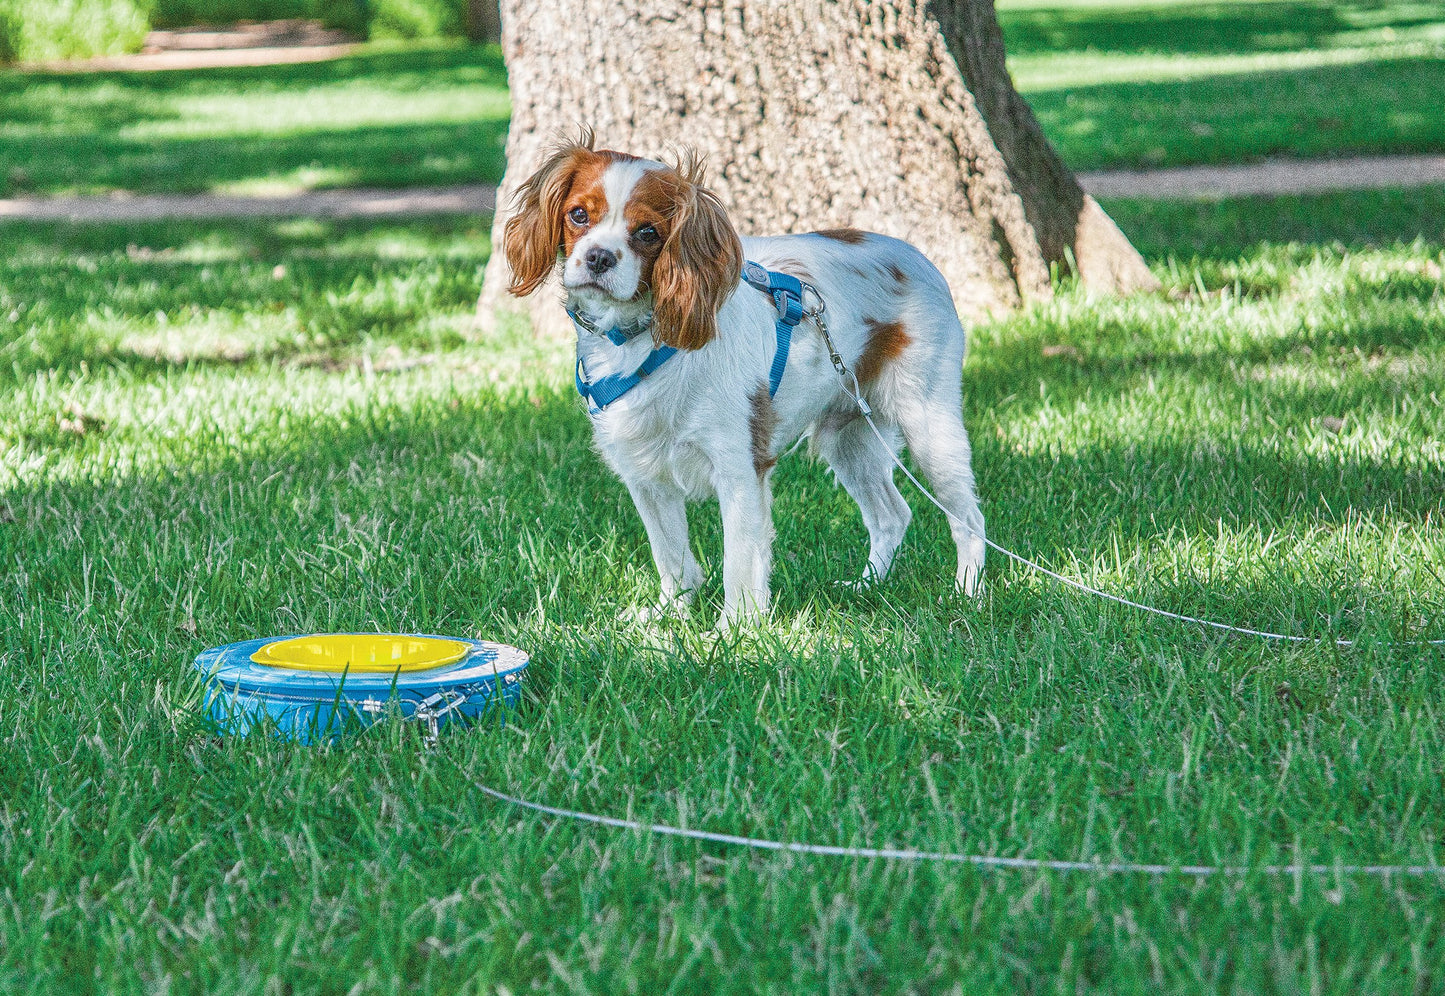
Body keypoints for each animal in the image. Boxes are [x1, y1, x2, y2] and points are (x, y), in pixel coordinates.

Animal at [502, 135, 988, 624]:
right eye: (578, 215)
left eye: (648, 233)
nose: (598, 257)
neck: (636, 339)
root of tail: (917, 256)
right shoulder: (644, 473)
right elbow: (670, 554)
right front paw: (670, 614)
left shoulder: (739, 467)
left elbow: (739, 558)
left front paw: (735, 630)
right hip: (847, 438)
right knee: (892, 514)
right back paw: (866, 587)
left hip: (929, 425)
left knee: (968, 518)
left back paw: (966, 594)